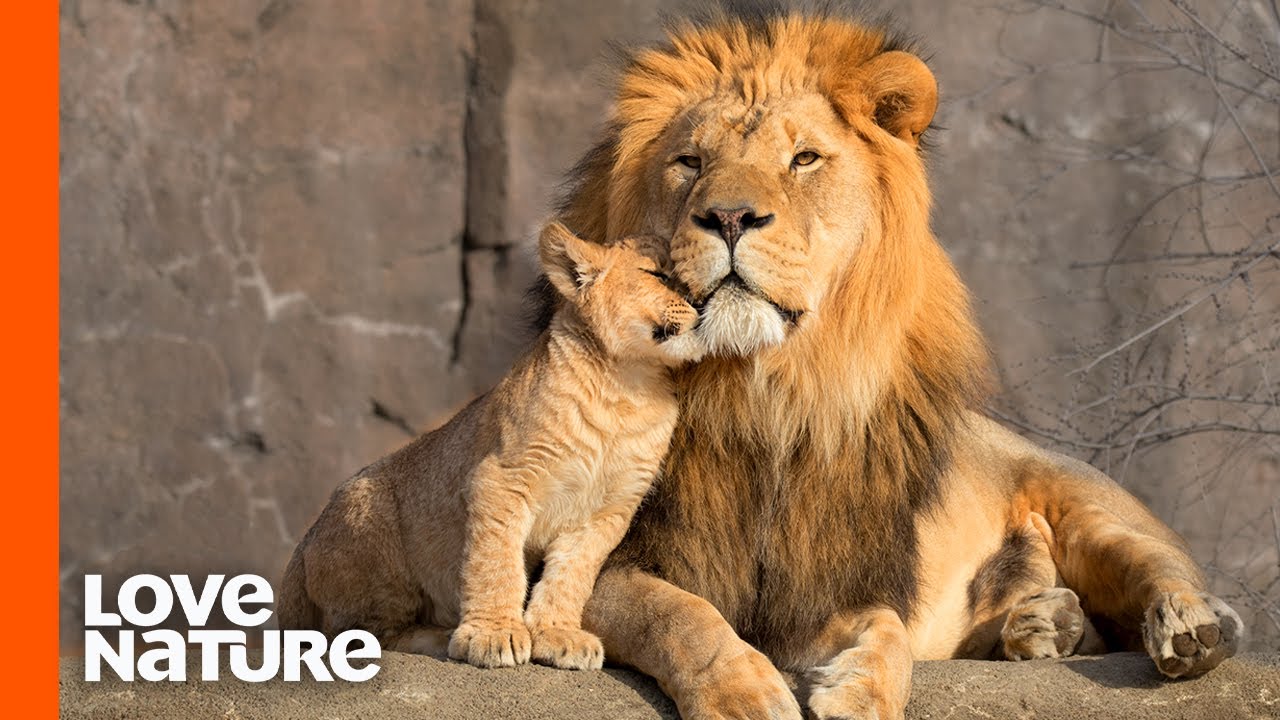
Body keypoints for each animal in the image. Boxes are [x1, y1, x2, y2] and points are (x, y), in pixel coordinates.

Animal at [277, 221, 704, 671]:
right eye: (658, 275)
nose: (701, 302)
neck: (628, 387)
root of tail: (302, 545)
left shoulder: (609, 511)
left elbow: (572, 575)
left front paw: (558, 634)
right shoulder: (502, 478)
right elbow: (496, 562)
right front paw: (493, 634)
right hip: (372, 525)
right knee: (358, 637)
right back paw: (440, 636)